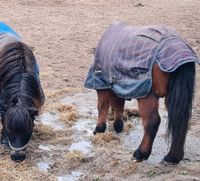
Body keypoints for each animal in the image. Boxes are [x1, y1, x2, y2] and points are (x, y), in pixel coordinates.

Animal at [85, 21, 198, 165]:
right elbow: (118, 105)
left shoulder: (102, 84)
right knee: (180, 122)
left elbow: (102, 107)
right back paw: (173, 157)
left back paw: (141, 153)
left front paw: (99, 129)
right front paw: (118, 126)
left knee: (152, 122)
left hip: (147, 95)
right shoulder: (122, 84)